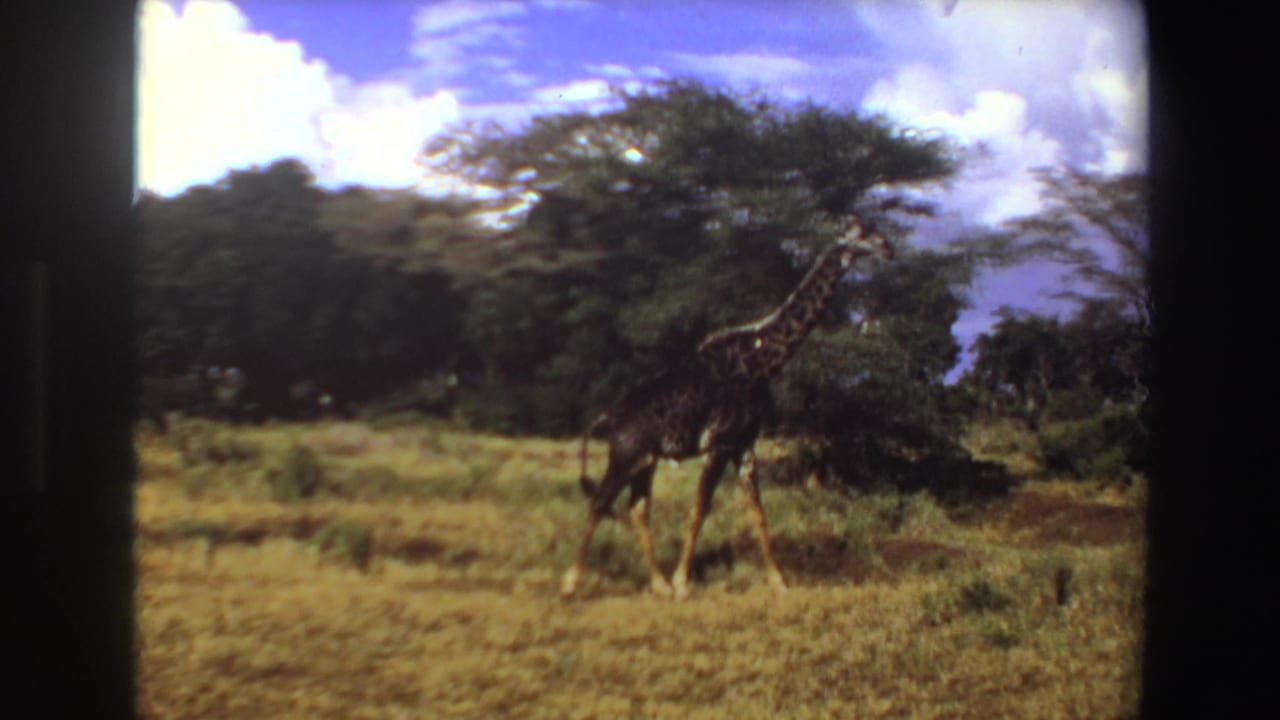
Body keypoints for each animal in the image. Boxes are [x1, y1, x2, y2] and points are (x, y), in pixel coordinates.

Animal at [561, 218, 895, 600]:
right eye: (862, 234)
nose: (888, 248)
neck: (762, 362)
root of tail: (609, 416)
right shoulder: (720, 443)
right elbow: (700, 507)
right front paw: (684, 583)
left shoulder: (744, 445)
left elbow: (757, 511)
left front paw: (779, 580)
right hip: (625, 454)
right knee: (600, 502)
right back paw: (572, 584)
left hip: (646, 459)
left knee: (637, 508)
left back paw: (658, 584)